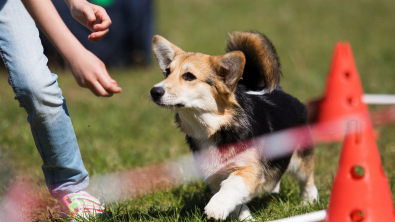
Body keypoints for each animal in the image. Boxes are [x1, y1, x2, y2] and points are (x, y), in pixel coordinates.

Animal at [148, 31, 318, 220]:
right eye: (167, 72)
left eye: (189, 76)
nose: (154, 91)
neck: (214, 128)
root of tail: (279, 91)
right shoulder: (214, 176)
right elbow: (237, 203)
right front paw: (245, 218)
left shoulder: (249, 169)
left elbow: (232, 185)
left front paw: (216, 207)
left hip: (300, 158)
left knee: (307, 179)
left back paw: (309, 202)